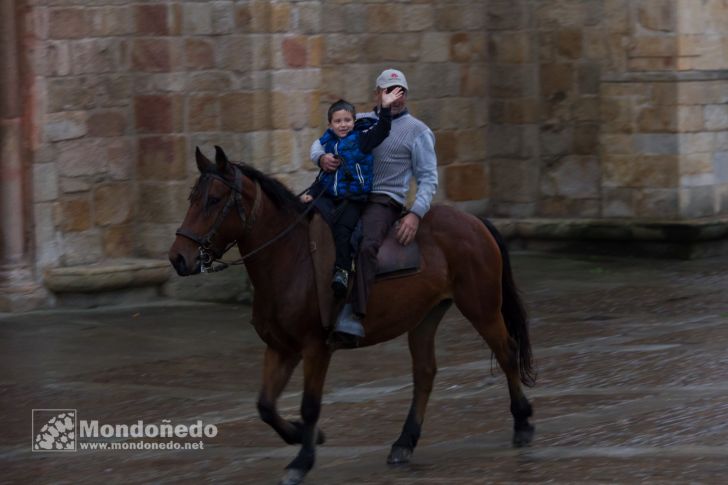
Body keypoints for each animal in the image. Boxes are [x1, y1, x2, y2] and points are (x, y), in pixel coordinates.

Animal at [171, 147, 536, 484]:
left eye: (214, 199)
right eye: (191, 198)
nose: (178, 257)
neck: (291, 258)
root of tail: (475, 222)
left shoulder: (315, 347)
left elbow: (310, 405)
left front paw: (301, 461)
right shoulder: (280, 347)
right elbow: (265, 406)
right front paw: (304, 435)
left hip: (481, 307)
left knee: (507, 352)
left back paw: (522, 422)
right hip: (425, 317)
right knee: (425, 373)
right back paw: (404, 443)